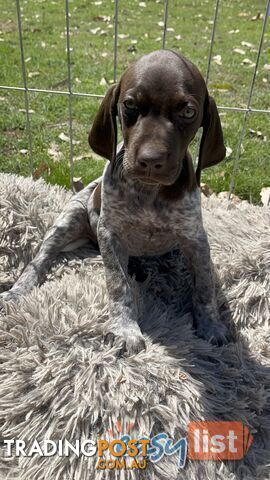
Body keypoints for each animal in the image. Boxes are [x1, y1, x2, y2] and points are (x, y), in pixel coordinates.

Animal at [1, 50, 231, 354]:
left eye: (188, 111)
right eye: (130, 105)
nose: (150, 161)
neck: (149, 191)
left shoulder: (195, 238)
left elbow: (205, 286)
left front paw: (211, 325)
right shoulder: (110, 234)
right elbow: (118, 284)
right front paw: (125, 329)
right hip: (69, 218)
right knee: (40, 260)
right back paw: (18, 289)